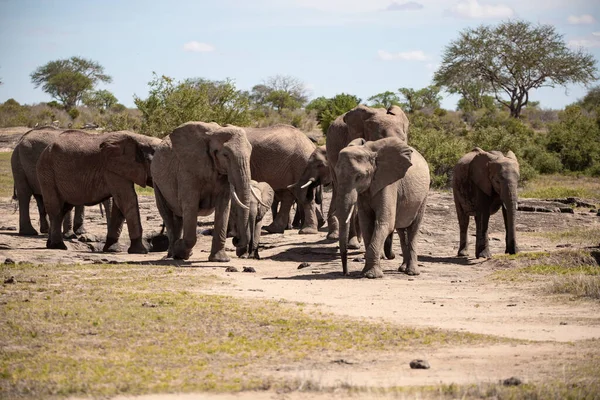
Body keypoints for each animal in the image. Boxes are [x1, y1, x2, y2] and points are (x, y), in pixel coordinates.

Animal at [151, 120, 254, 260]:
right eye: (225, 155)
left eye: (251, 153)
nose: (236, 240)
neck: (213, 134)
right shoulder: (187, 171)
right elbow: (190, 205)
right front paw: (180, 249)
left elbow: (223, 207)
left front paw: (220, 260)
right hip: (156, 182)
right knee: (167, 214)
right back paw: (173, 254)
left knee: (179, 217)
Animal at [336, 138, 428, 278]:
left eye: (359, 176)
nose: (346, 273)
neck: (369, 152)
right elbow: (366, 224)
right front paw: (367, 273)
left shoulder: (388, 184)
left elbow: (385, 223)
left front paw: (371, 275)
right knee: (401, 231)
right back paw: (402, 268)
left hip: (423, 196)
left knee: (413, 228)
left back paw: (412, 272)